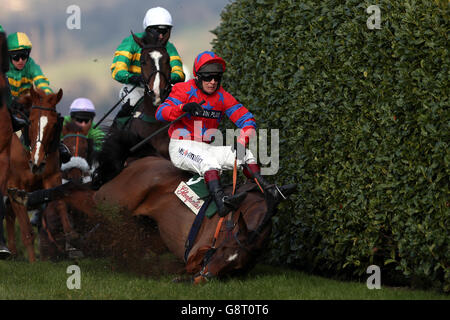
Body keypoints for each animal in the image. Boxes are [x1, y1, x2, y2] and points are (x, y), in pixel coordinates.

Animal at [5, 86, 76, 262]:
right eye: (31, 121)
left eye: (53, 124)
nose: (37, 163)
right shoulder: (14, 186)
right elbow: (27, 231)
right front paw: (33, 262)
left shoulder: (52, 177)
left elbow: (60, 202)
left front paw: (70, 240)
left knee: (9, 215)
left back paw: (12, 253)